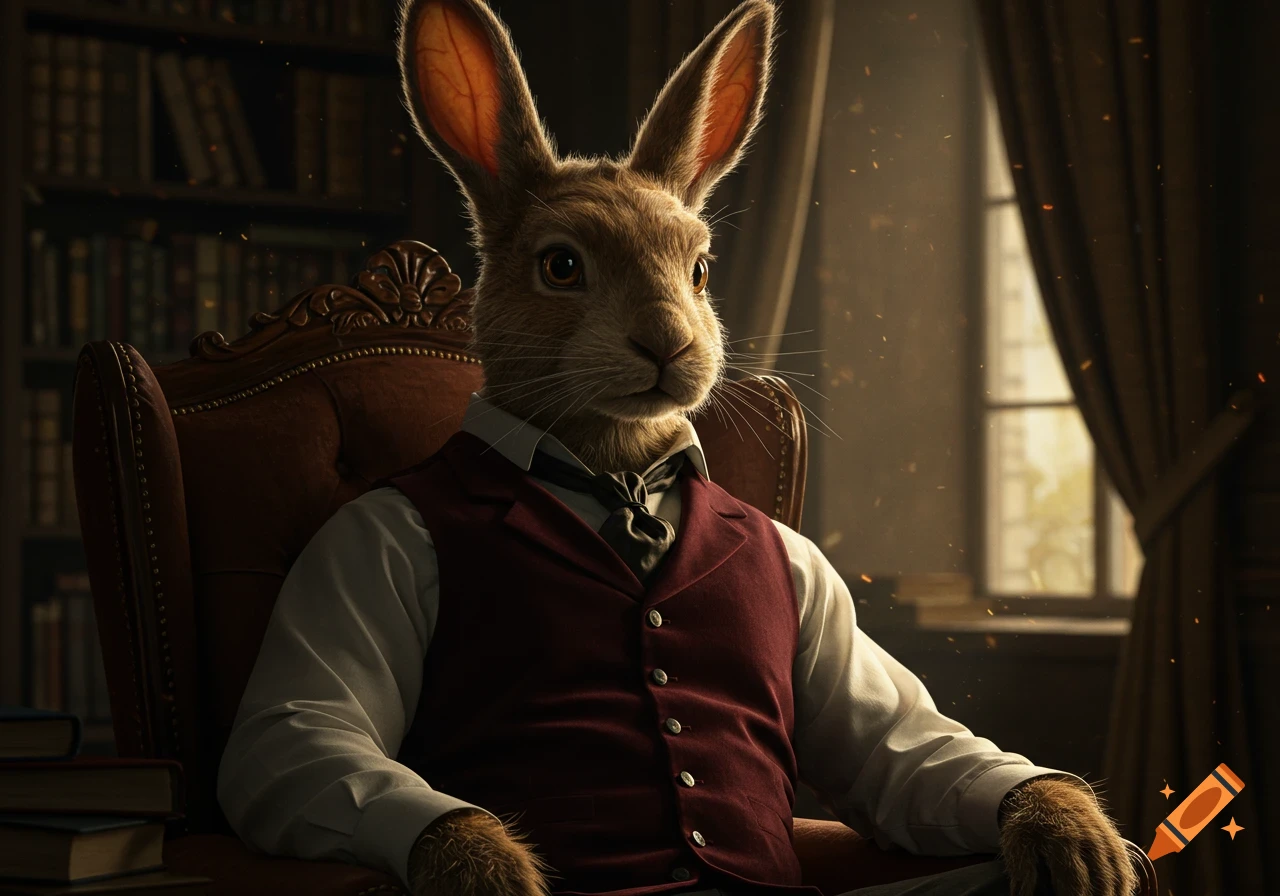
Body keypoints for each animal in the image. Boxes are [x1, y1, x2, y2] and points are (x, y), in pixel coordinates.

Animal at [394, 1, 1138, 895]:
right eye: (561, 265)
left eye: (701, 270)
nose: (668, 344)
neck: (616, 471)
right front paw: (490, 867)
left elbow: (909, 746)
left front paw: (1071, 834)